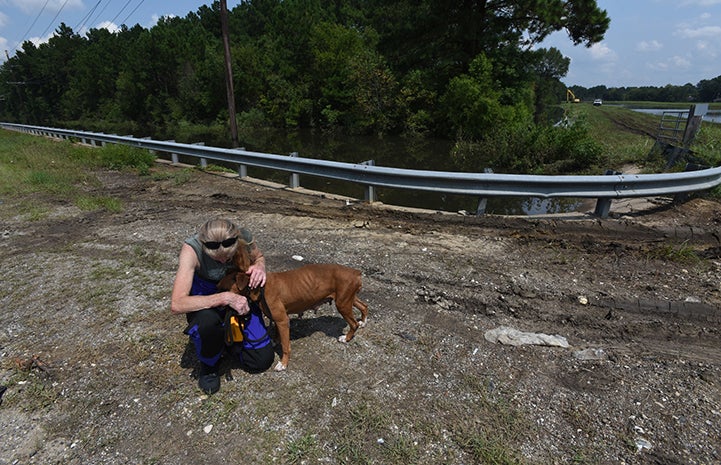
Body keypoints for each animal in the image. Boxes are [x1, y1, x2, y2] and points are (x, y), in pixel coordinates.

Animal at [218, 262, 366, 372]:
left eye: (223, 289)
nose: (217, 304)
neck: (259, 287)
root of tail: (355, 271)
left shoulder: (282, 321)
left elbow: (285, 346)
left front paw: (283, 364)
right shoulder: (277, 320)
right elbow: (277, 334)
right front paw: (274, 341)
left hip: (343, 304)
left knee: (353, 323)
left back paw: (346, 338)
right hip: (349, 299)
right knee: (364, 306)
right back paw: (363, 322)